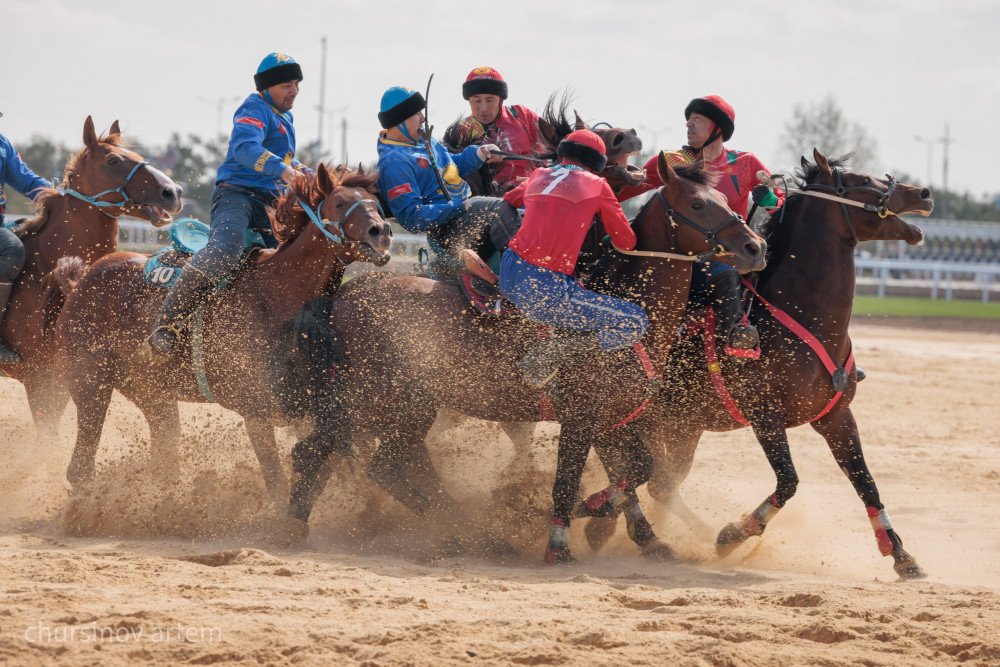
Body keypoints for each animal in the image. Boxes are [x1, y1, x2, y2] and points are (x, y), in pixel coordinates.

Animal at [50, 164, 392, 508]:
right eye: (339, 202)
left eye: (377, 204)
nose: (381, 231)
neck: (276, 295)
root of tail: (82, 279)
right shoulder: (256, 412)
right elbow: (278, 484)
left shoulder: (310, 411)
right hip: (90, 384)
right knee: (80, 467)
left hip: (152, 395)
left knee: (164, 458)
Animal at [286, 153, 768, 564]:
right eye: (697, 203)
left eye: (727, 199)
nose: (754, 247)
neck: (630, 306)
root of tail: (342, 296)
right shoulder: (582, 417)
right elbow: (570, 481)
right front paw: (561, 540)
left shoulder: (614, 420)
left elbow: (638, 471)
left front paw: (630, 530)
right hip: (374, 401)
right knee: (343, 458)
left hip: (396, 409)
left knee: (365, 462)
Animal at [588, 150, 932, 580]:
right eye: (863, 180)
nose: (923, 192)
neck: (796, 315)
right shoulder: (765, 415)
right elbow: (788, 481)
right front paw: (734, 534)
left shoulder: (836, 417)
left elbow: (866, 481)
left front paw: (900, 553)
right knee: (640, 473)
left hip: (681, 425)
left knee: (661, 482)